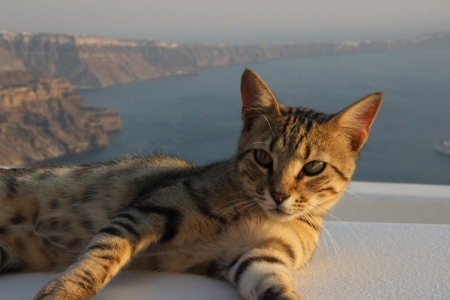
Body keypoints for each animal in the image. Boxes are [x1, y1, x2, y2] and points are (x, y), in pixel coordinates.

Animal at [0, 69, 382, 298]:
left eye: (314, 167)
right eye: (263, 158)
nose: (278, 194)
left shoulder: (257, 258)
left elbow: (274, 286)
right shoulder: (147, 209)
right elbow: (102, 254)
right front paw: (68, 289)